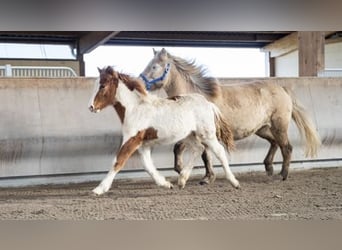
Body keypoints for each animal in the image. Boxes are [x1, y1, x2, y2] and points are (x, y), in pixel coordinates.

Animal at [87, 66, 240, 195]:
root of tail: (208, 103)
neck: (135, 108)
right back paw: (181, 180)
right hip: (189, 136)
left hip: (207, 134)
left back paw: (234, 182)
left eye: (102, 86)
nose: (91, 107)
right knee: (199, 149)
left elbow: (118, 161)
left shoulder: (132, 139)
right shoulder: (143, 144)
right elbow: (148, 166)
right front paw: (166, 184)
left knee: (219, 151)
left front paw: (99, 189)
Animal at [140, 47, 320, 184]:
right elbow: (202, 154)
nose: (140, 82)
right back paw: (268, 168)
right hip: (262, 129)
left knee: (287, 147)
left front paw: (196, 175)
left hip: (279, 126)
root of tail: (282, 88)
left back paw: (282, 175)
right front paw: (205, 176)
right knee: (275, 143)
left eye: (154, 66)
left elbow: (189, 150)